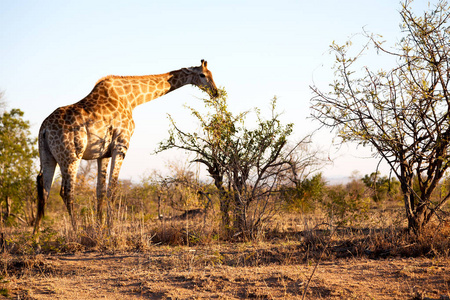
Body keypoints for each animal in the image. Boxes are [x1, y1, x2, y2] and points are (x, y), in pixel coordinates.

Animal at [33, 59, 218, 236]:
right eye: (202, 75)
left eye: (211, 74)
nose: (216, 92)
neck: (132, 99)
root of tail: (44, 128)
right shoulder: (121, 144)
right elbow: (113, 189)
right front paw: (111, 230)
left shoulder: (103, 154)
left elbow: (100, 191)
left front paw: (100, 229)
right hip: (71, 156)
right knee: (66, 191)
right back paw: (76, 232)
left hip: (48, 156)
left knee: (44, 190)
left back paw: (36, 237)